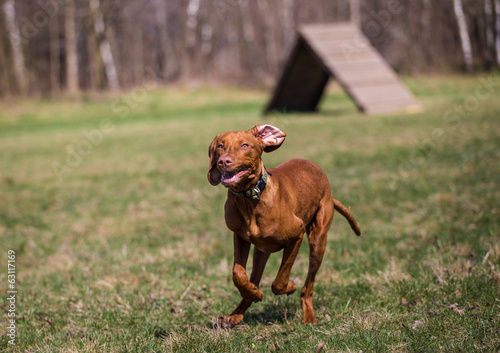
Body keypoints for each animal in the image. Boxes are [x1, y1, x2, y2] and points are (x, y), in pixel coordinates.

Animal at [207, 124, 360, 328]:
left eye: (245, 145)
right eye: (221, 146)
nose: (223, 161)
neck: (251, 198)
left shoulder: (297, 236)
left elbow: (280, 281)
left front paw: (290, 286)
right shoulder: (239, 236)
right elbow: (238, 273)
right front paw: (252, 293)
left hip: (318, 241)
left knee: (308, 286)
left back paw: (308, 316)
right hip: (261, 251)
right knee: (254, 277)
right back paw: (239, 311)